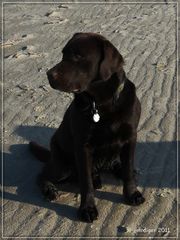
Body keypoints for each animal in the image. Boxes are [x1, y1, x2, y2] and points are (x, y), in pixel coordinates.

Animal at [29, 32, 145, 223]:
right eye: (63, 54)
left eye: (78, 56)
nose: (48, 74)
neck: (103, 103)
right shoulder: (83, 146)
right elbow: (86, 183)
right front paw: (87, 208)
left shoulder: (130, 138)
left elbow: (128, 170)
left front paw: (132, 194)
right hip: (62, 166)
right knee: (41, 174)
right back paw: (49, 189)